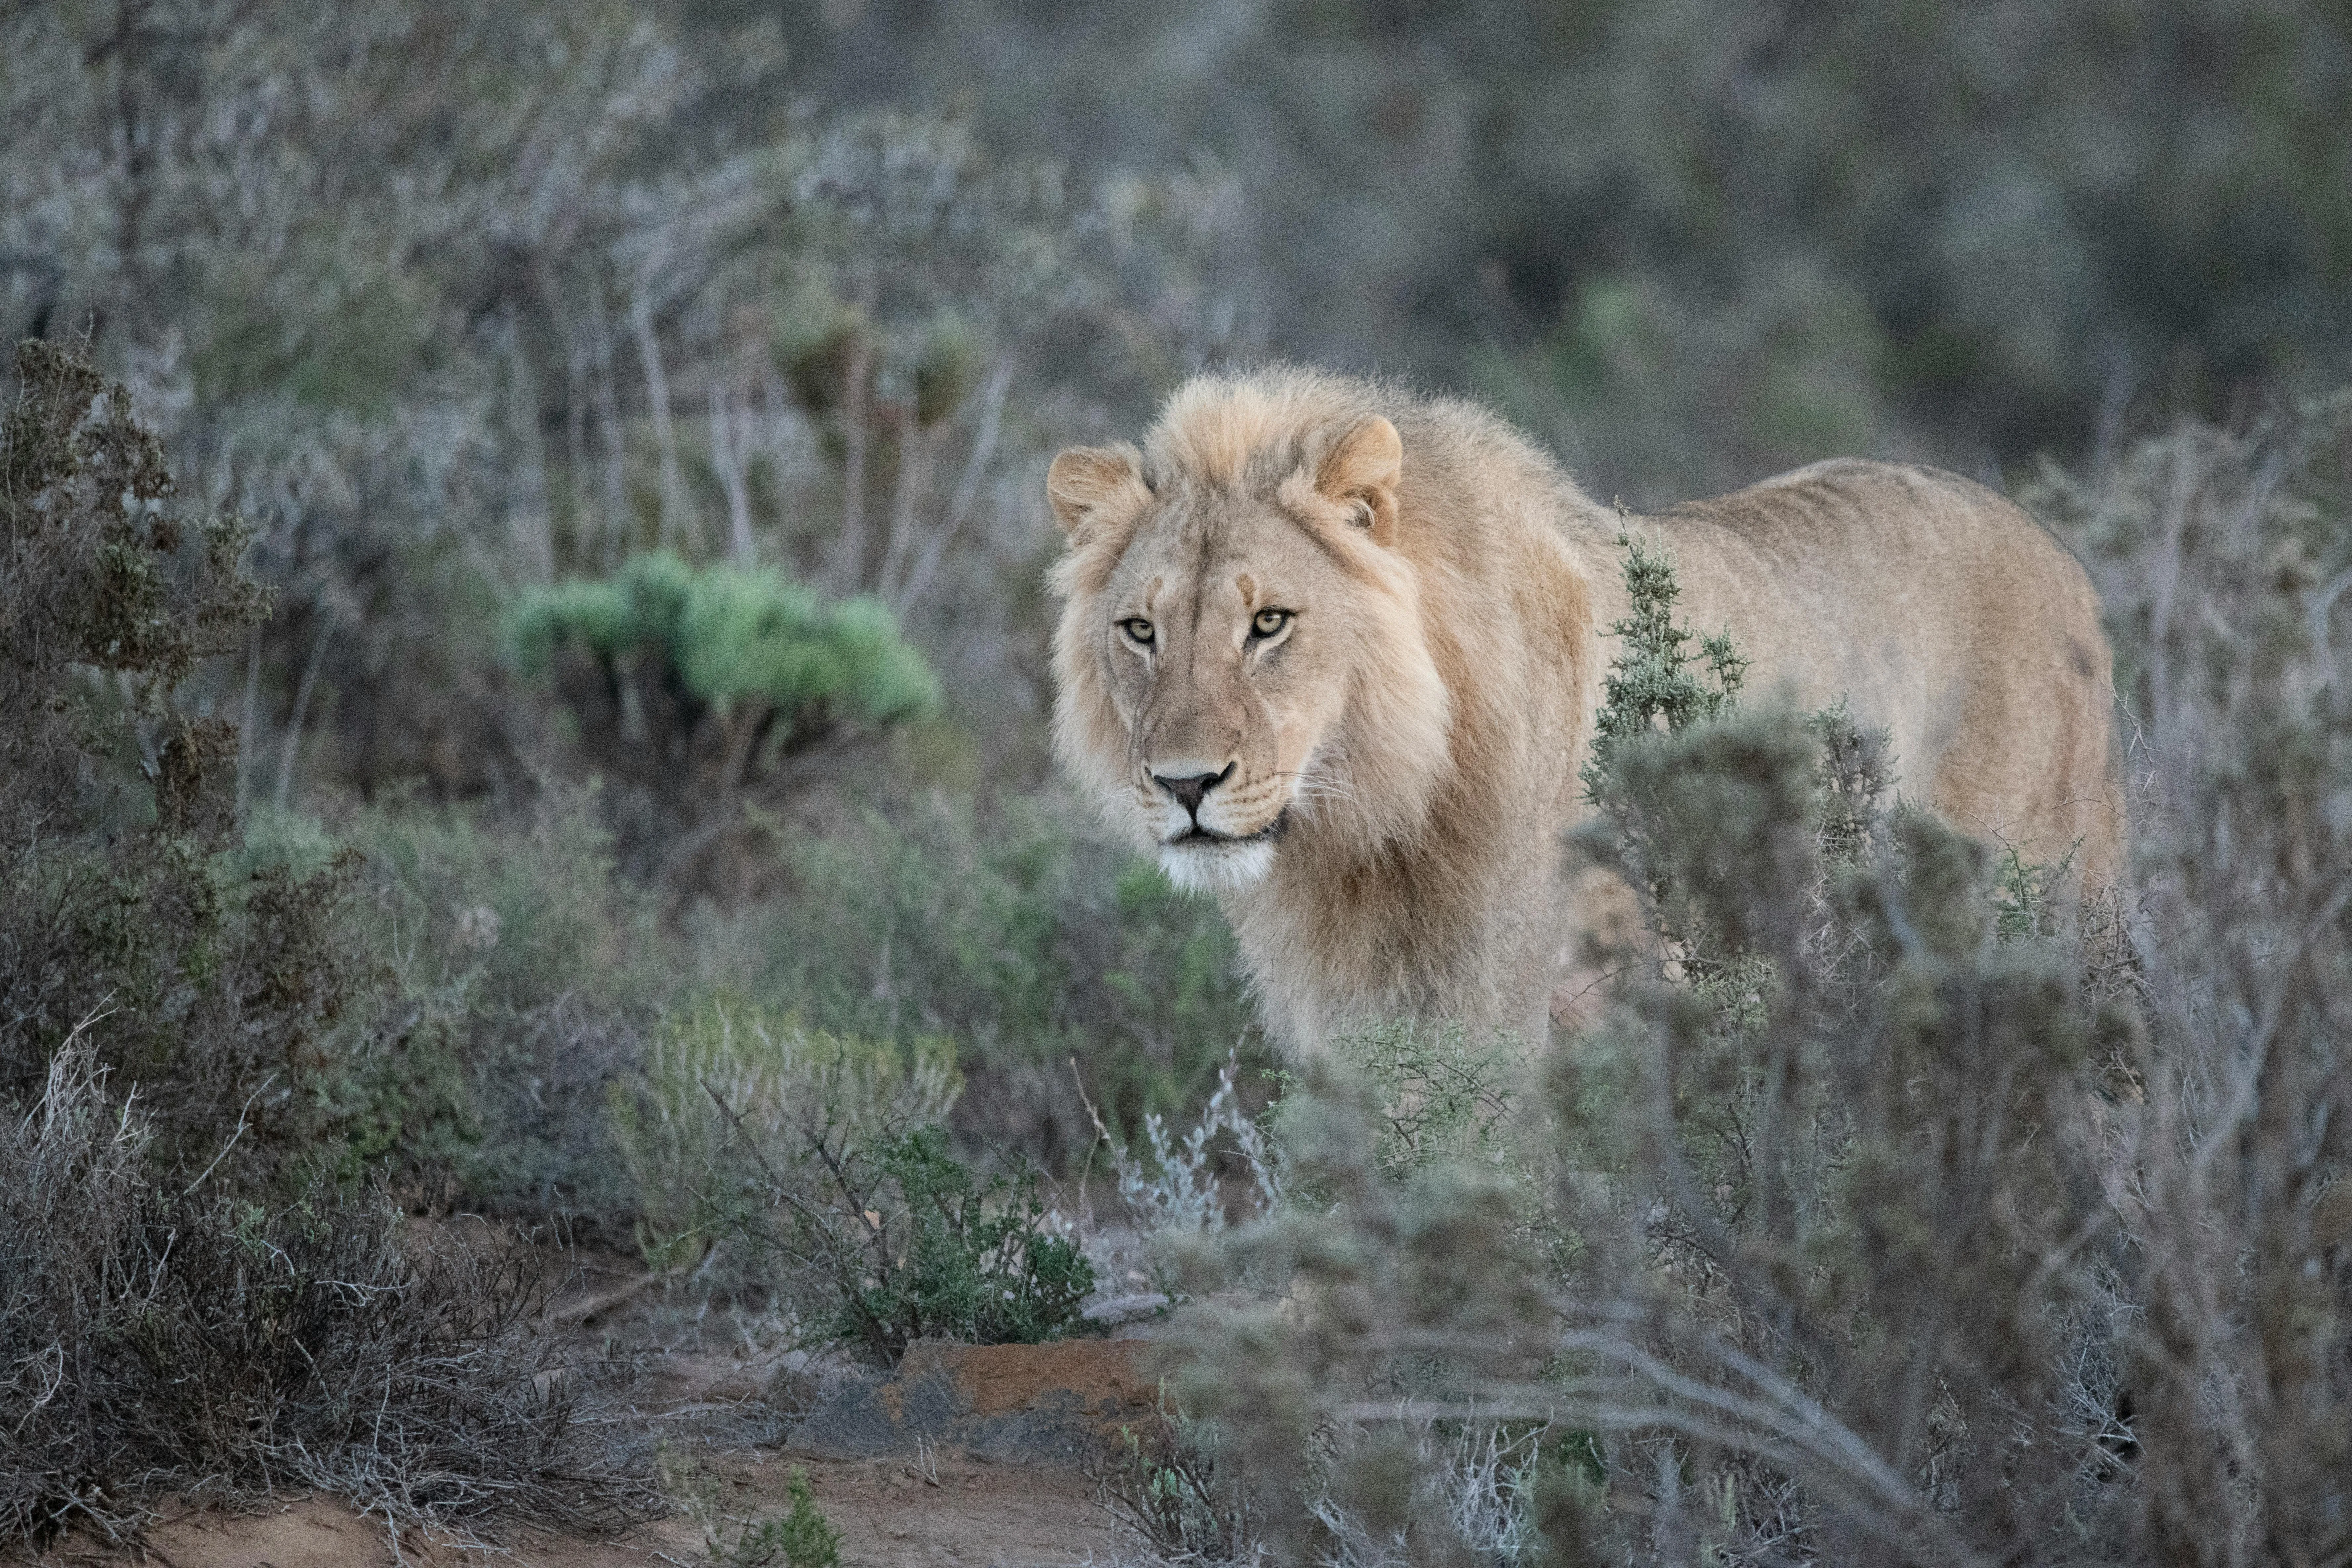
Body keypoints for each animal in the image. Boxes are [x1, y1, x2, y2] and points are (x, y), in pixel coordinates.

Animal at [1046, 366, 2118, 1056]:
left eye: (1269, 623)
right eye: (1140, 631)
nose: (1184, 785)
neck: (1366, 831)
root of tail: (2062, 556)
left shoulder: (1512, 1007)